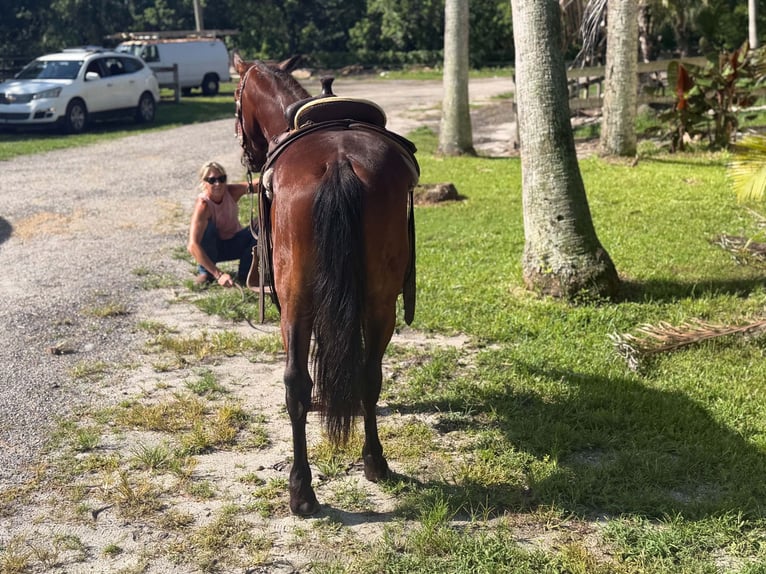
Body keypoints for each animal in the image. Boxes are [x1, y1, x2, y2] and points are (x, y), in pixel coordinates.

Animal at [233, 54, 419, 516]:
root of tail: (338, 163)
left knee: (298, 382)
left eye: (236, 98)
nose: (247, 154)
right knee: (367, 375)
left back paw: (307, 487)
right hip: (377, 302)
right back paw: (366, 465)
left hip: (297, 301)